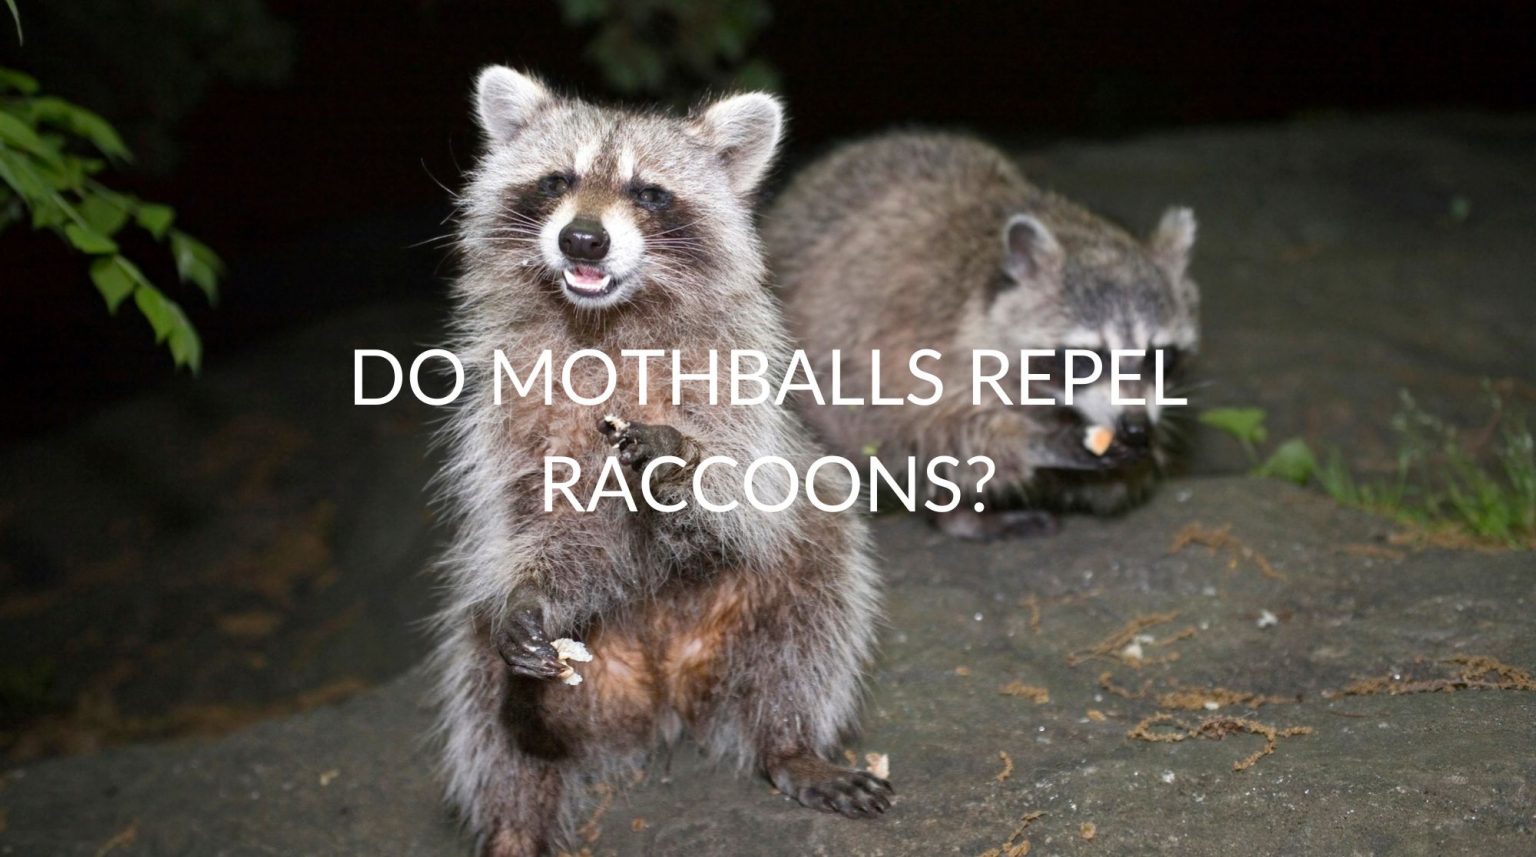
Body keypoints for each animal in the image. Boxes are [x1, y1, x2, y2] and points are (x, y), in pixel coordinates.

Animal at [430, 68, 890, 857]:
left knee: (816, 592)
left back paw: (789, 740)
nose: (583, 237)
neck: (605, 321)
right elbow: (550, 522)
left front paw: (680, 464)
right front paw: (531, 593)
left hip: (766, 604)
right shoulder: (512, 408)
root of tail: (664, 690)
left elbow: (744, 492)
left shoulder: (734, 387)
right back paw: (515, 822)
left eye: (648, 193)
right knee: (491, 697)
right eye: (557, 181)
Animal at [765, 132, 1200, 540]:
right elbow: (935, 430)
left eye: (1161, 356)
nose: (1135, 427)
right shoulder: (907, 342)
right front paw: (1036, 441)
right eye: (1085, 359)